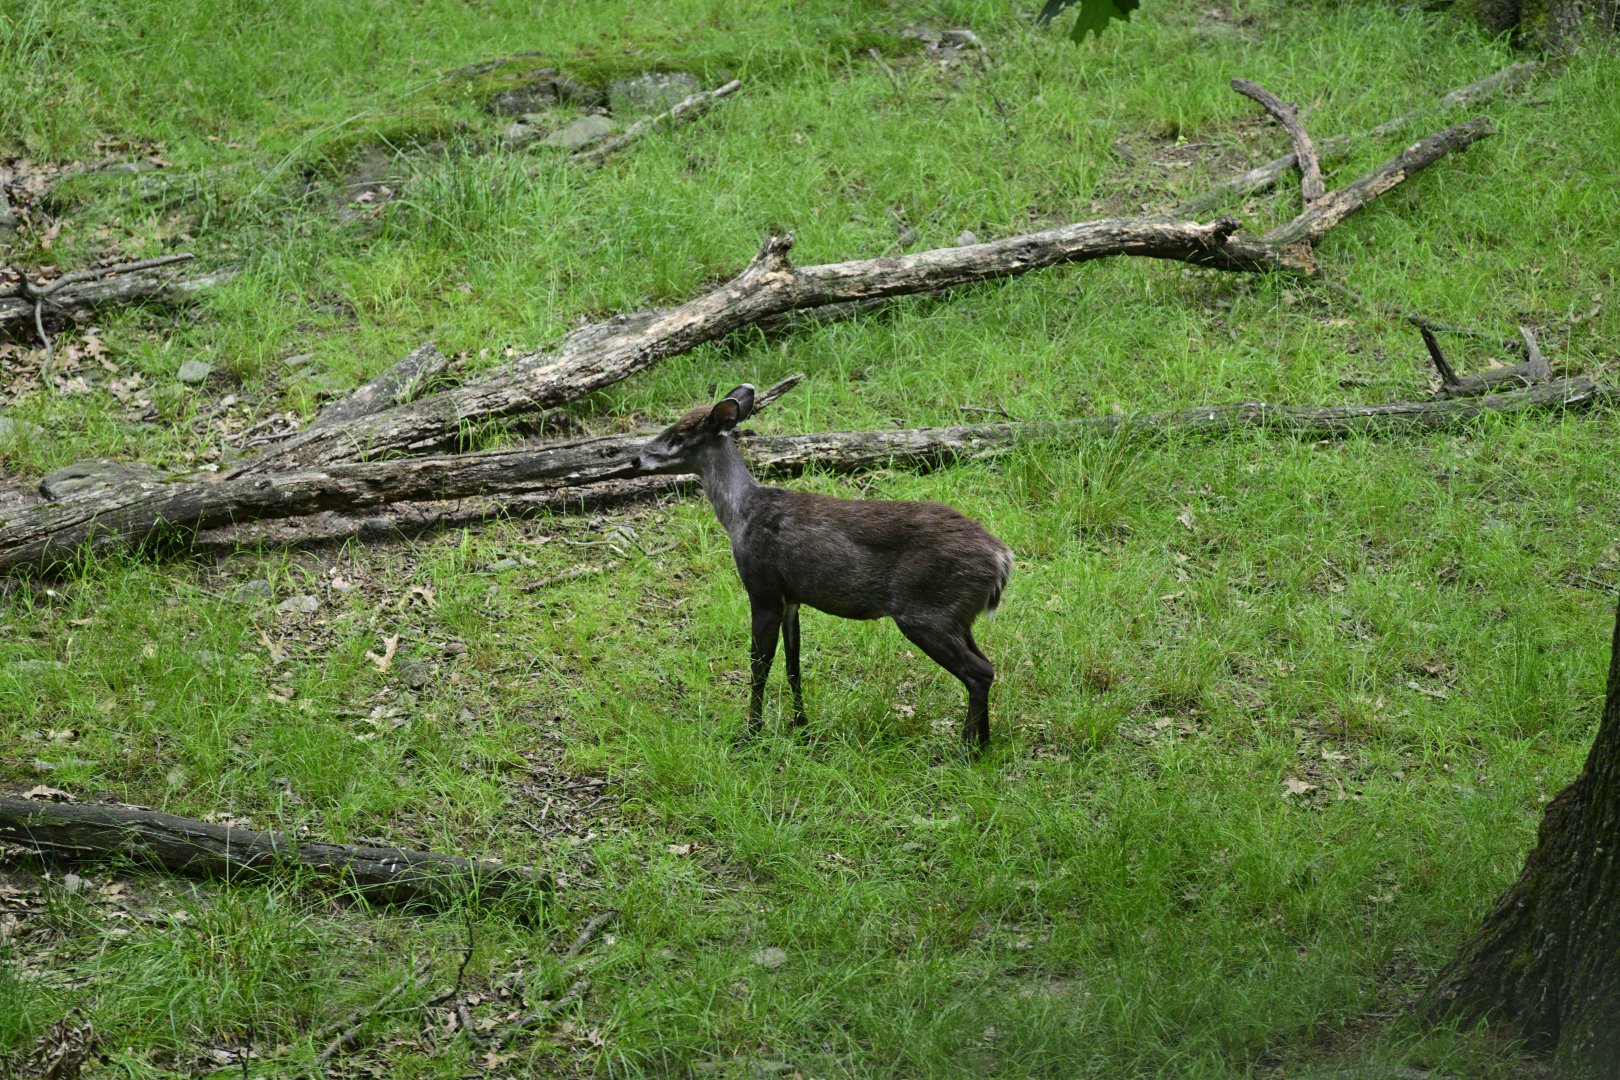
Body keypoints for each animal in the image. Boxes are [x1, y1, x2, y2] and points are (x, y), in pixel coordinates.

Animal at [632, 384, 1013, 750]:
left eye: (680, 433)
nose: (635, 458)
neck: (742, 514)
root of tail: (1001, 559)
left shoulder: (763, 588)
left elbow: (760, 665)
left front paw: (750, 735)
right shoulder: (792, 598)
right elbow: (793, 664)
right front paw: (801, 726)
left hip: (926, 614)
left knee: (979, 671)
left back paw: (967, 750)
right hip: (957, 616)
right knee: (988, 665)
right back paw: (983, 744)